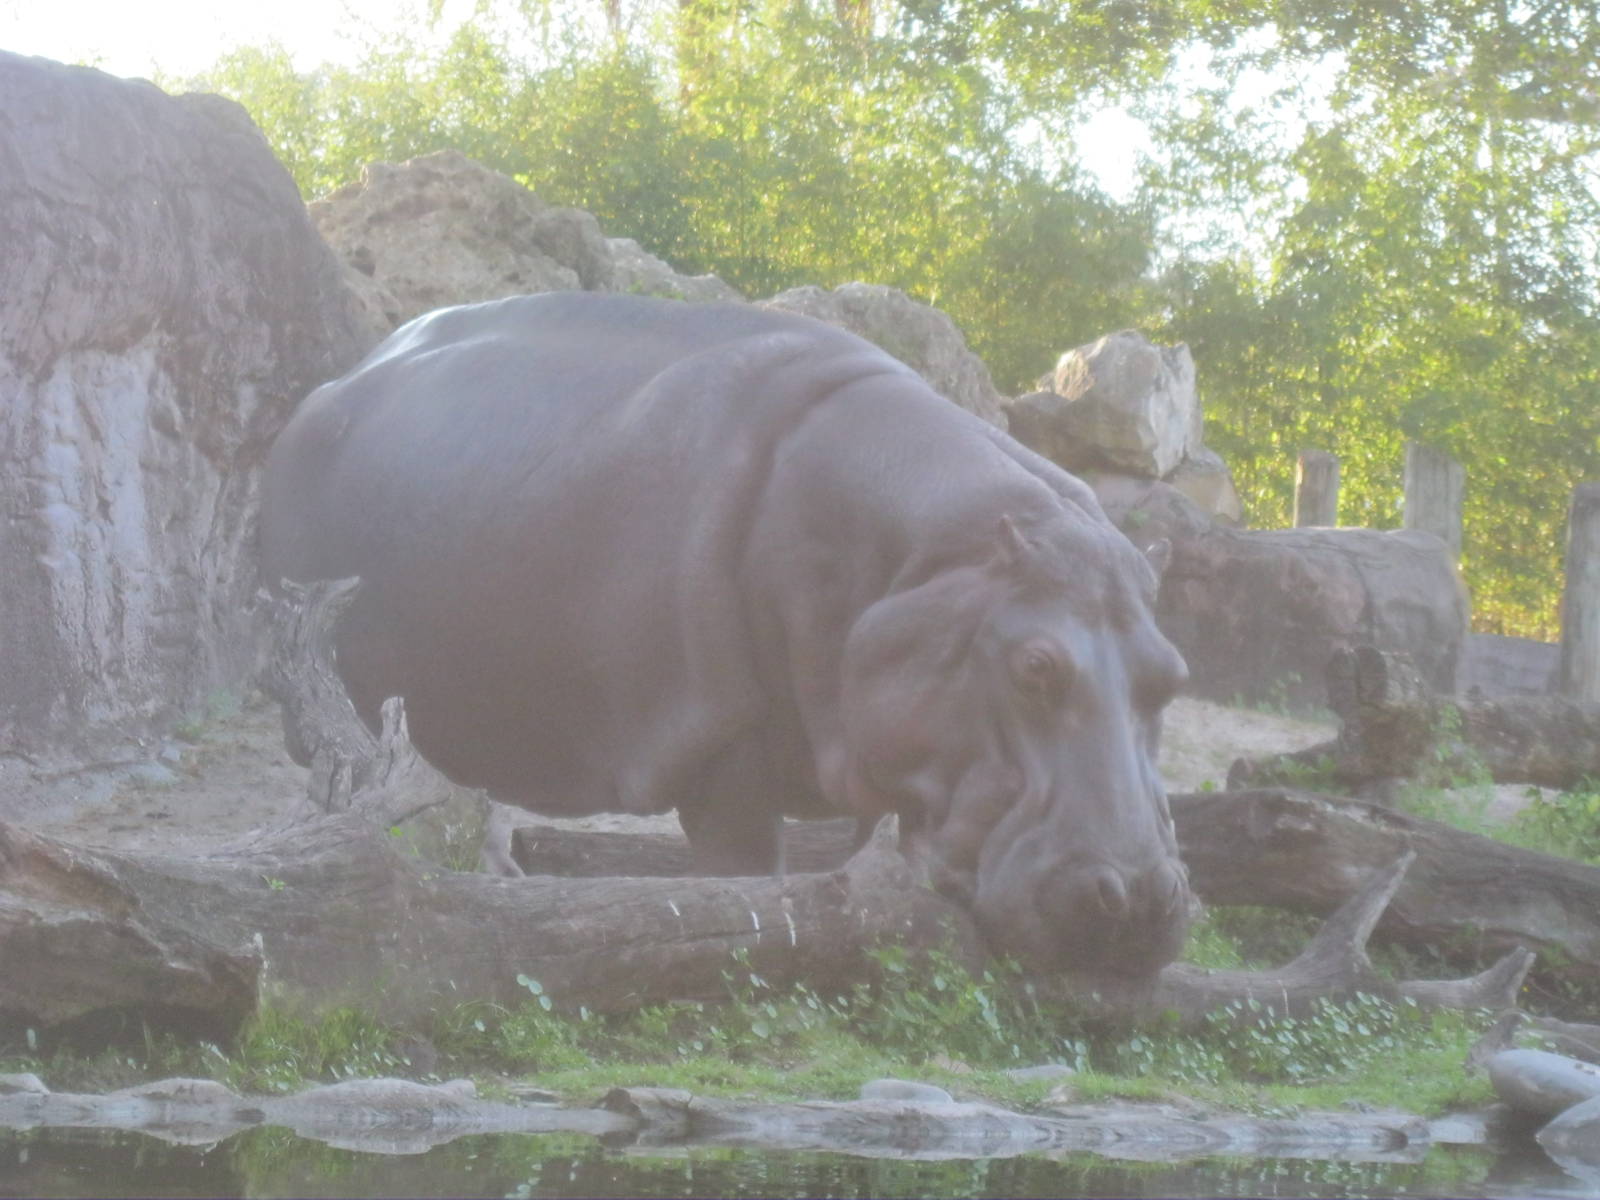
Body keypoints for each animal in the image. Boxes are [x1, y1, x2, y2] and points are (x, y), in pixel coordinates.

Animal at [260, 292, 1194, 980]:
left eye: (1173, 674)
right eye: (1034, 666)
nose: (1143, 900)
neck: (931, 563)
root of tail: (335, 382)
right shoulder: (717, 729)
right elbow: (743, 870)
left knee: (467, 790)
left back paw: (504, 878)